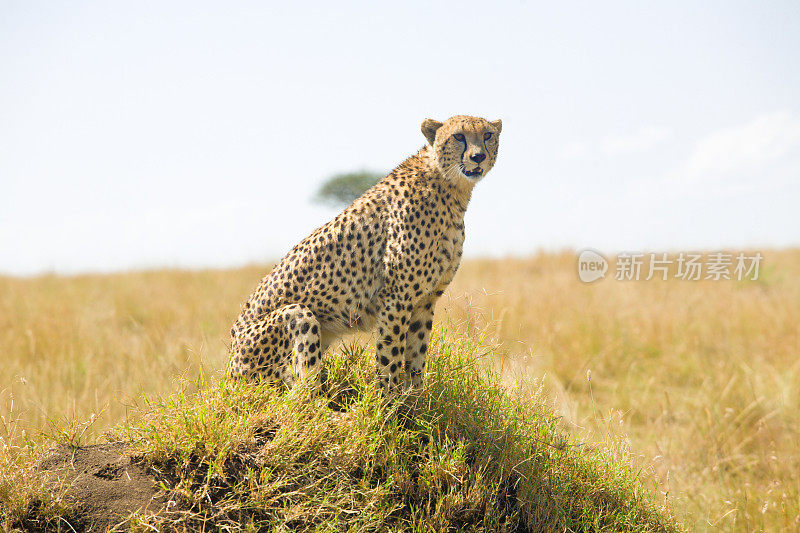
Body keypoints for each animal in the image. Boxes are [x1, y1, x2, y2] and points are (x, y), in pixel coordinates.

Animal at [225, 113, 500, 394]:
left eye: (487, 135)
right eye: (459, 136)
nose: (478, 156)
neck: (451, 187)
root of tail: (230, 373)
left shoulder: (425, 301)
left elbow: (416, 359)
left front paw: (416, 400)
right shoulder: (396, 298)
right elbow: (391, 357)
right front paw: (389, 400)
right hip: (296, 319)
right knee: (301, 393)